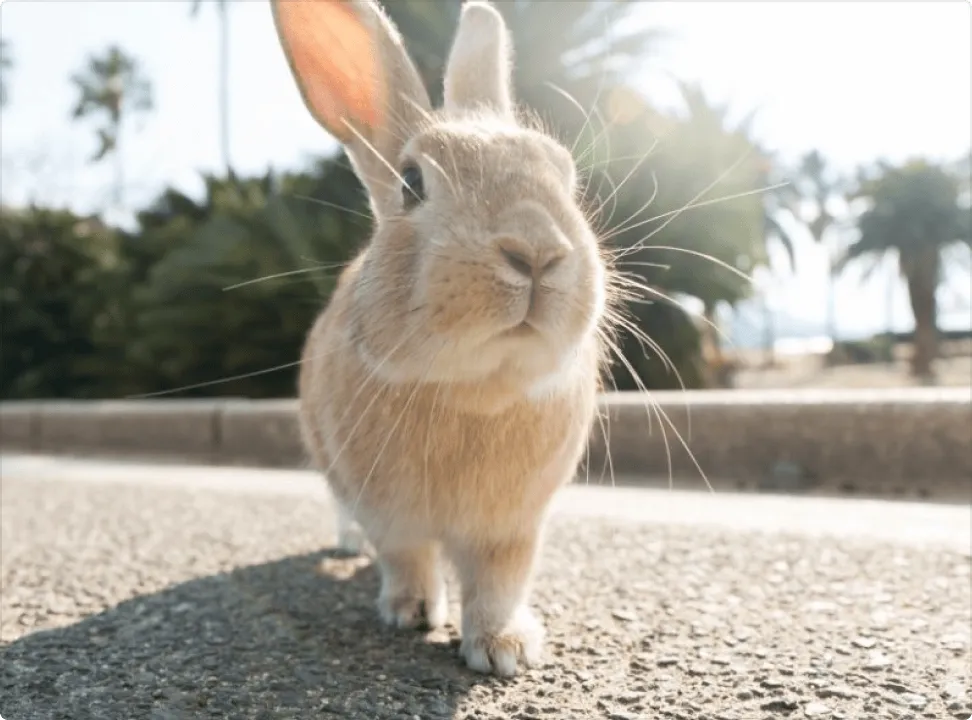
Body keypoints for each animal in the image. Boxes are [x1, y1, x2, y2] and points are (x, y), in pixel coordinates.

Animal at [272, 0, 609, 677]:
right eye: (410, 183)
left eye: (564, 177)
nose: (537, 251)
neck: (474, 391)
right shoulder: (389, 514)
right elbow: (406, 558)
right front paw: (410, 613)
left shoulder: (513, 528)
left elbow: (499, 584)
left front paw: (505, 651)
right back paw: (345, 549)